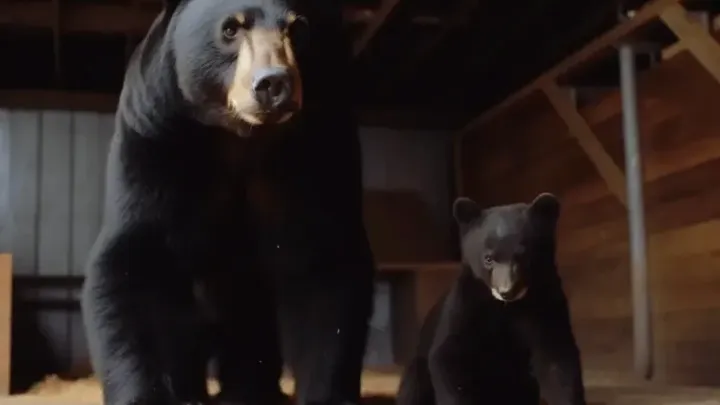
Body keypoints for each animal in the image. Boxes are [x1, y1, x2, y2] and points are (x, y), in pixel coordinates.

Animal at [80, 1, 376, 405]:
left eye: (299, 28)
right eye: (231, 29)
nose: (274, 84)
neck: (241, 138)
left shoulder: (320, 151)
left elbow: (326, 266)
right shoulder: (154, 139)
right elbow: (132, 263)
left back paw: (250, 389)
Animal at [396, 193, 586, 405]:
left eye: (524, 256)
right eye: (488, 258)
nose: (507, 291)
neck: (506, 308)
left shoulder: (547, 303)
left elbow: (557, 361)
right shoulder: (465, 305)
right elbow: (446, 357)